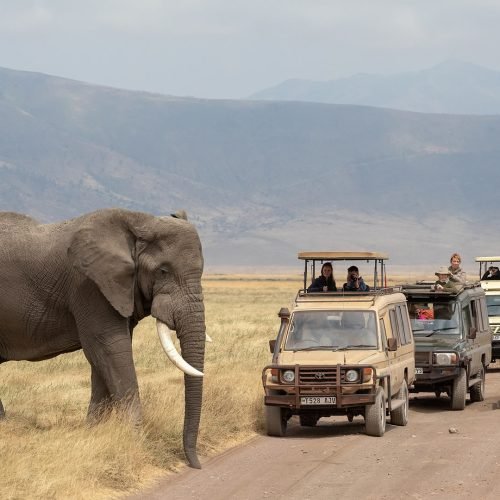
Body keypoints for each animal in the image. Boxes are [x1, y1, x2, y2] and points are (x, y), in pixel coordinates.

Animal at [0, 207, 206, 468]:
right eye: (163, 271)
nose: (196, 464)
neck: (140, 221)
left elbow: (104, 358)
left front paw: (93, 432)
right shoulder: (88, 285)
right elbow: (109, 348)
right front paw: (135, 439)